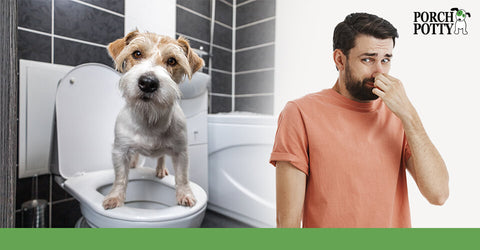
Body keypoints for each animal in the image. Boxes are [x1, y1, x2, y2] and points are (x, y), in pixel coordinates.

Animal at [102, 30, 203, 209]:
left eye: (172, 60)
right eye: (137, 53)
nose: (148, 83)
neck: (149, 116)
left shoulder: (181, 152)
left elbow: (182, 177)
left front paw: (185, 194)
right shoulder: (120, 151)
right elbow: (120, 177)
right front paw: (115, 197)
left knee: (161, 156)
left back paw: (160, 169)